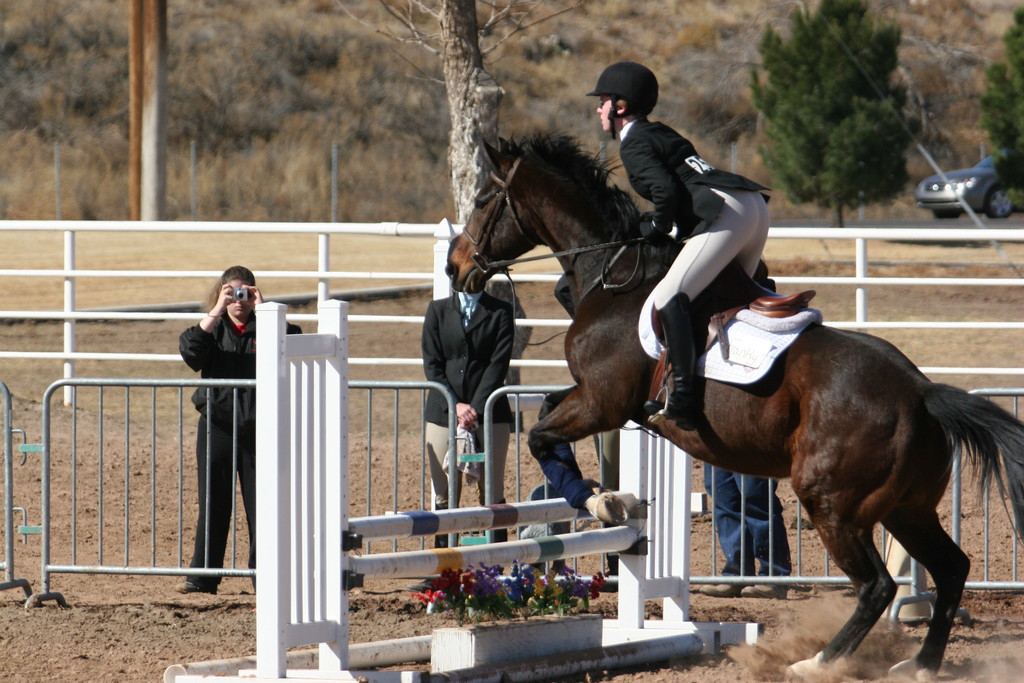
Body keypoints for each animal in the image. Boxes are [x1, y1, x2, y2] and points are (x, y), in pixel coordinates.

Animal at [446, 133, 1024, 679]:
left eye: (483, 199)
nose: (455, 268)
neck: (613, 273)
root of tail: (921, 392)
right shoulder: (594, 400)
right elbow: (544, 416)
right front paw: (597, 497)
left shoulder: (602, 403)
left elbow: (540, 434)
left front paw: (598, 501)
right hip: (906, 506)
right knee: (951, 568)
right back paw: (921, 664)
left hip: (832, 501)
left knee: (877, 585)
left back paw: (815, 663)